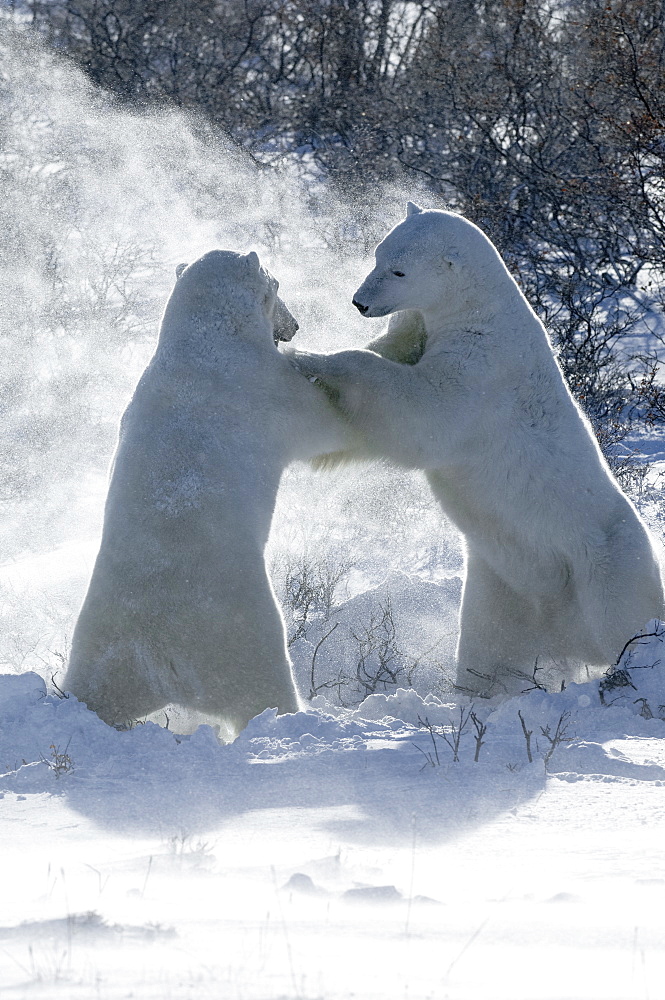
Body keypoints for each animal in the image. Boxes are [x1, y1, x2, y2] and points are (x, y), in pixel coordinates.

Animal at [63, 250, 352, 736]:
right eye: (277, 283)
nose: (295, 326)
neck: (204, 338)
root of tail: (161, 654)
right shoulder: (262, 387)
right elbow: (319, 421)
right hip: (239, 629)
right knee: (264, 685)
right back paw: (293, 718)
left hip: (102, 644)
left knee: (97, 690)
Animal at [292, 205, 664, 696]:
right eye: (377, 255)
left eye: (399, 270)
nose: (359, 302)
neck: (480, 309)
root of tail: (568, 633)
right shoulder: (426, 332)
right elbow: (394, 359)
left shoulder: (483, 368)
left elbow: (424, 412)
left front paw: (312, 359)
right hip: (503, 585)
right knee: (487, 645)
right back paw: (478, 692)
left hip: (605, 567)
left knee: (626, 621)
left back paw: (634, 667)